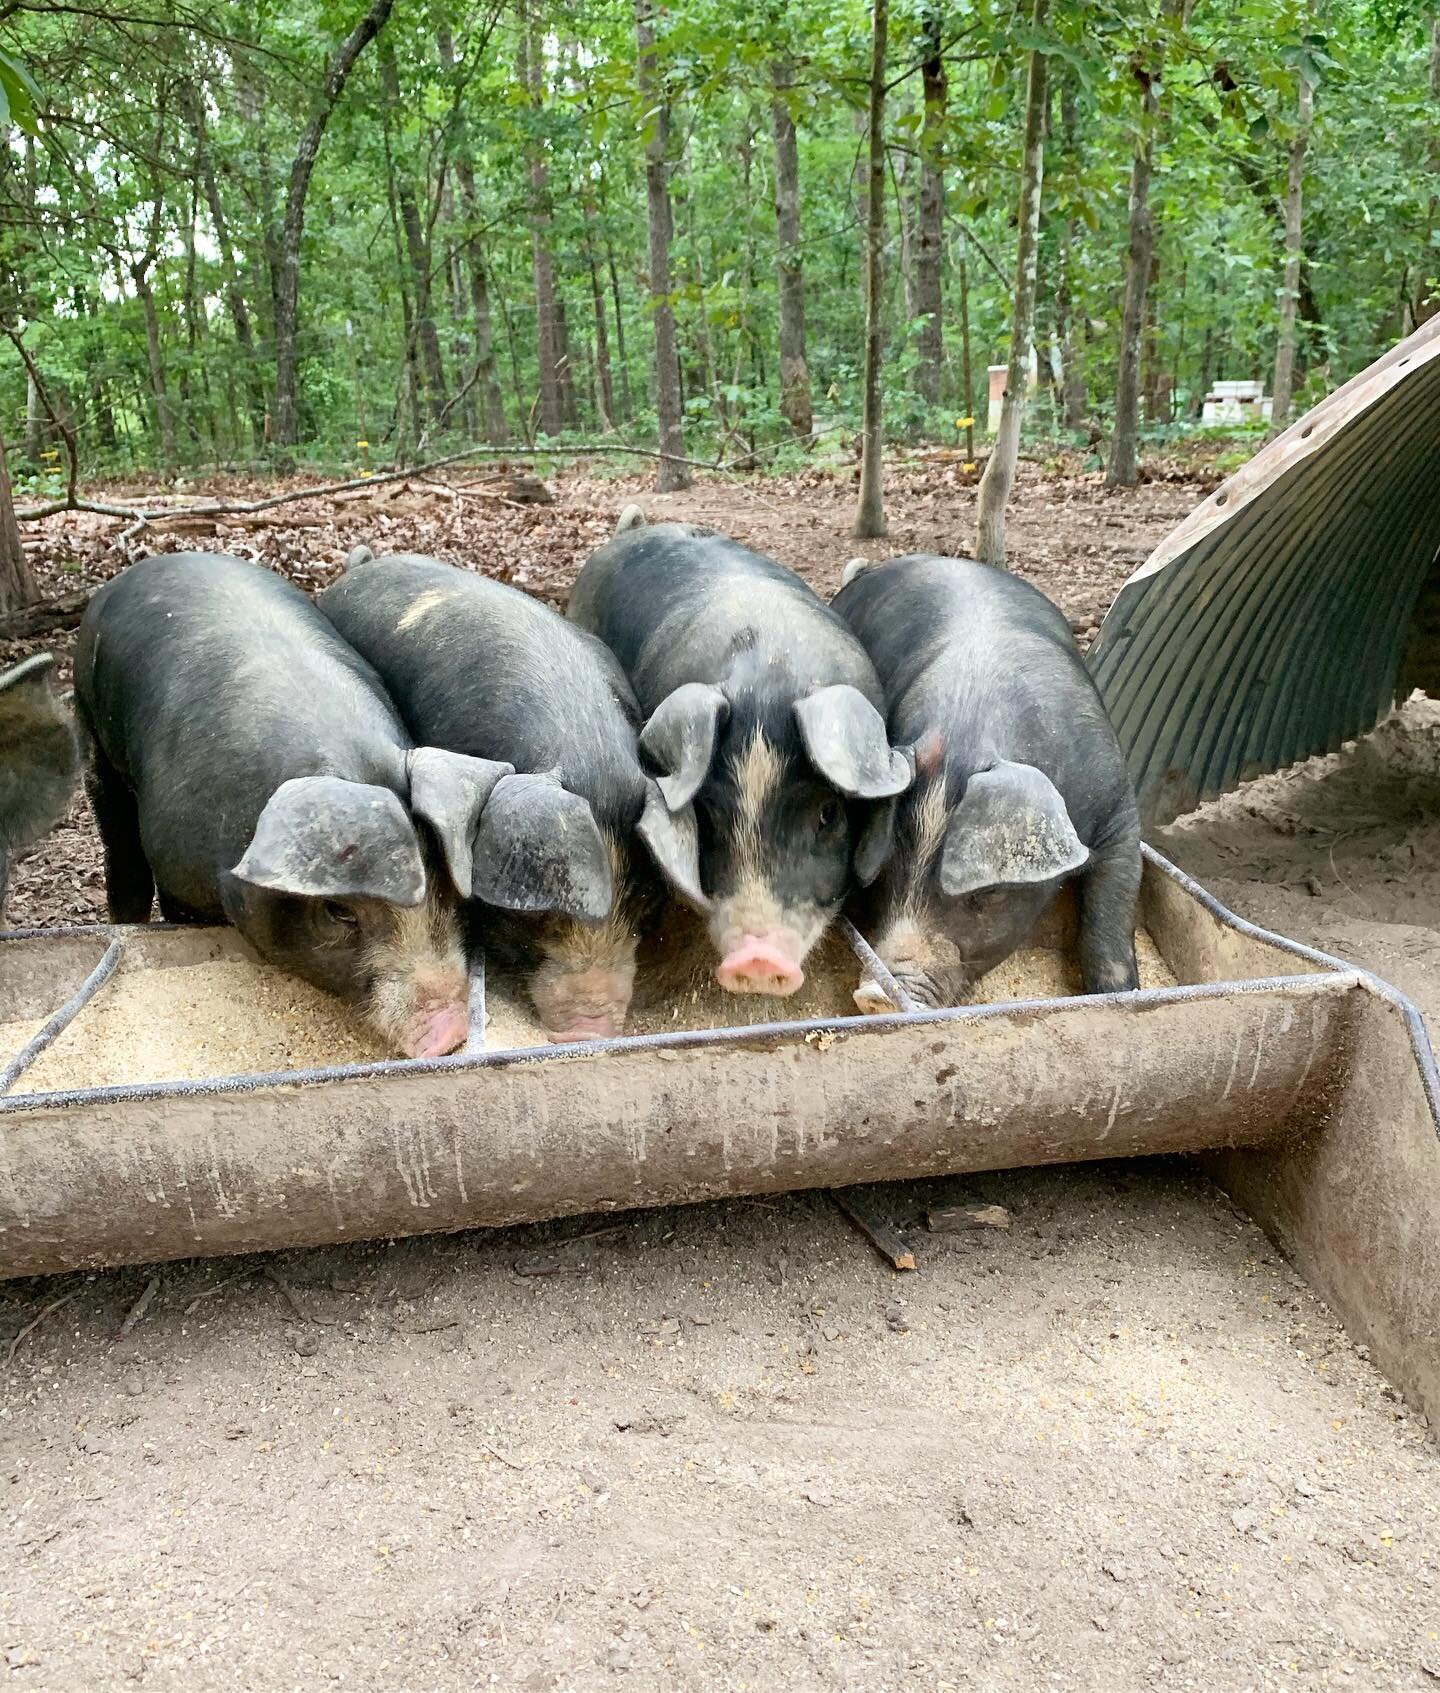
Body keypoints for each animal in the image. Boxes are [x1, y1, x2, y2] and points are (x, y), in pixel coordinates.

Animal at [74, 552, 588, 1059]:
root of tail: (145, 568)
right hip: (89, 722)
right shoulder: (179, 878)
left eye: (447, 890)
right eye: (339, 912)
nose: (451, 1033)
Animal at [831, 554, 1142, 1009]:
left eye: (987, 893)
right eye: (886, 874)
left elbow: (1112, 917)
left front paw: (1120, 996)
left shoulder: (1119, 807)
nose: (876, 996)